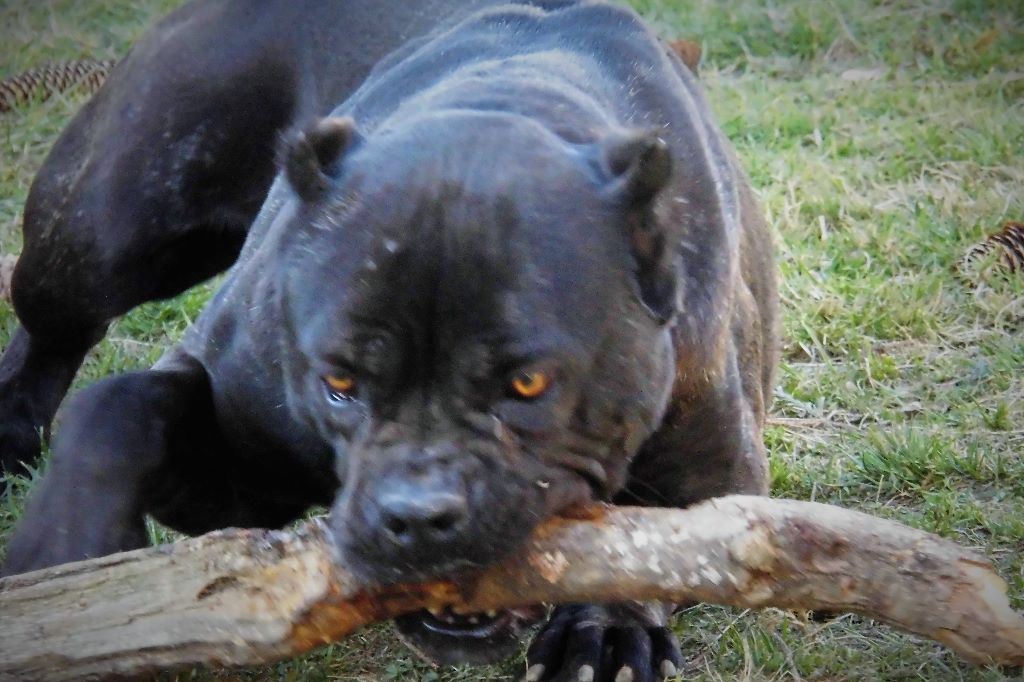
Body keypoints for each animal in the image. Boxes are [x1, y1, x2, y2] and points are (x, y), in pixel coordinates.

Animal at [2, 2, 774, 675]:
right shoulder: (238, 468)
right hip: (92, 237)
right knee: (50, 331)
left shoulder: (716, 479)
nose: (418, 516)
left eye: (528, 384)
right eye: (338, 382)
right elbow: (119, 405)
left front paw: (607, 629)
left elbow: (649, 540)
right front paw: (59, 557)